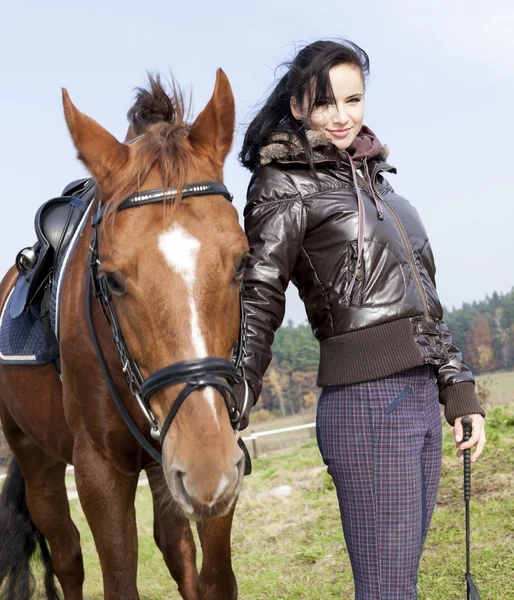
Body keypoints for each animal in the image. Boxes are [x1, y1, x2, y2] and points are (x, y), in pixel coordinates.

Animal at [0, 70, 250, 600]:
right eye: (112, 280)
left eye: (242, 262)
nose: (207, 468)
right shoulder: (99, 472)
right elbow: (116, 580)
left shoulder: (219, 457)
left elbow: (215, 577)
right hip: (35, 458)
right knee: (68, 555)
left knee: (176, 547)